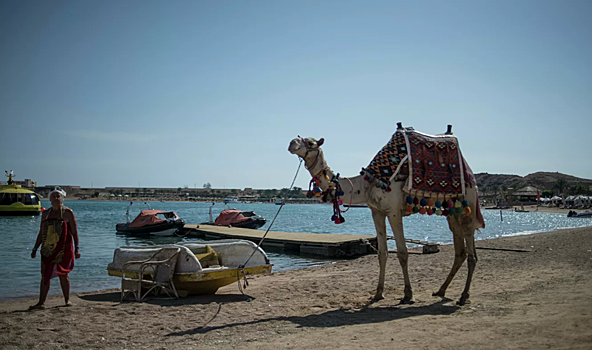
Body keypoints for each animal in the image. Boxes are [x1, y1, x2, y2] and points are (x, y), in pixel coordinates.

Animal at [288, 124, 486, 304]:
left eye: (311, 142)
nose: (291, 144)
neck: (366, 185)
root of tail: (471, 178)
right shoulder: (377, 212)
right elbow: (382, 253)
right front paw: (377, 294)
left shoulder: (393, 211)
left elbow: (402, 253)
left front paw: (408, 295)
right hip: (452, 212)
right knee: (460, 252)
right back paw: (440, 291)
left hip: (468, 206)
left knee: (471, 254)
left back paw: (463, 296)